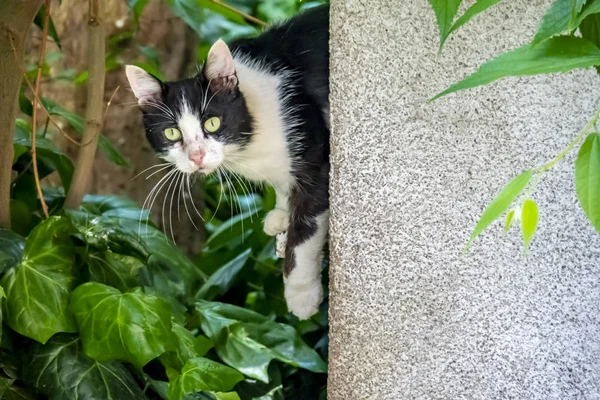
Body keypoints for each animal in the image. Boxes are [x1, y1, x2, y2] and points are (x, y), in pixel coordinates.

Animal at [125, 4, 330, 320]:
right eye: (171, 132)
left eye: (212, 122)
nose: (196, 156)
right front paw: (282, 212)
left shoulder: (314, 149)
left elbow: (306, 228)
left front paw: (301, 294)